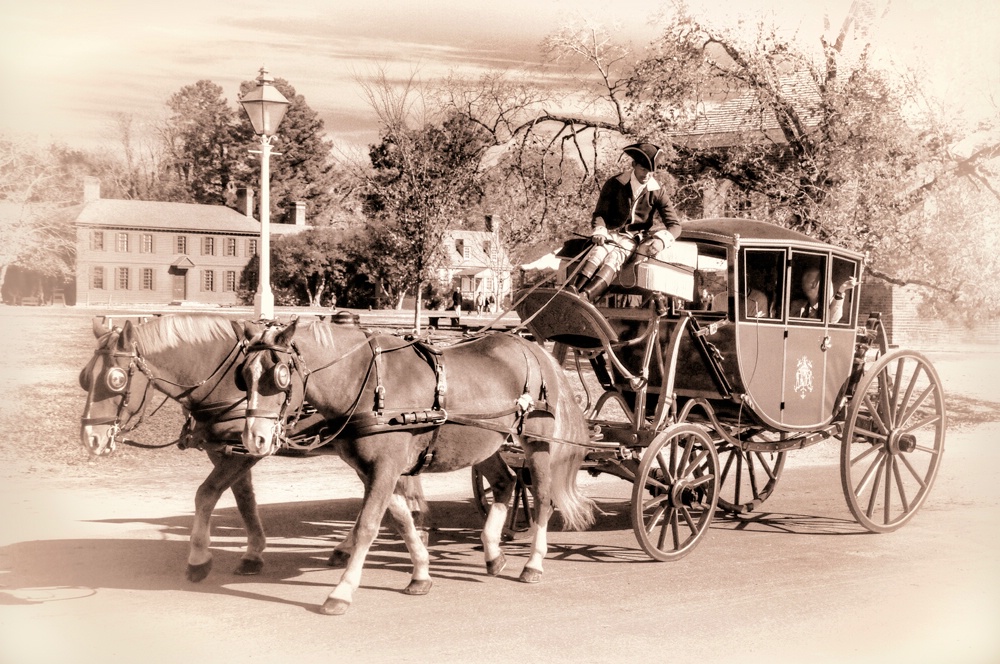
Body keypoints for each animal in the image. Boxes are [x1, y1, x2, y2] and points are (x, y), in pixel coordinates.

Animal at [75, 314, 426, 584]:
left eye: (116, 380)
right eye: (85, 377)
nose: (91, 437)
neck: (223, 382)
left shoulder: (246, 451)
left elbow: (206, 494)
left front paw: (199, 558)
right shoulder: (231, 449)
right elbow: (243, 499)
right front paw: (253, 553)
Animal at [236, 320, 592, 616]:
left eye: (280, 375)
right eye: (244, 376)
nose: (255, 437)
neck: (365, 382)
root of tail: (532, 347)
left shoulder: (385, 468)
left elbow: (368, 526)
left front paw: (342, 591)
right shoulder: (375, 471)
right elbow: (403, 521)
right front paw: (421, 573)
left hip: (537, 439)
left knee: (543, 496)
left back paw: (534, 563)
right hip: (483, 441)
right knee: (506, 482)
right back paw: (493, 552)